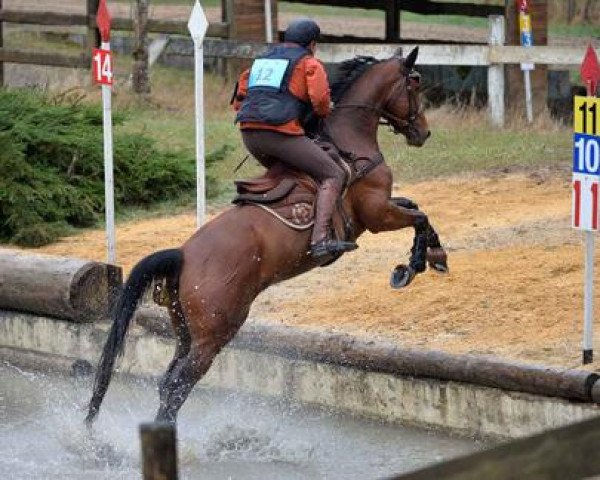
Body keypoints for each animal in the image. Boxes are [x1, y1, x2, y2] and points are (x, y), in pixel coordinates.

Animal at [86, 47, 448, 424]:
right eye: (415, 83)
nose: (424, 133)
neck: (350, 141)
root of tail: (183, 256)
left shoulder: (382, 207)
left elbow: (417, 208)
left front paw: (434, 257)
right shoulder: (376, 213)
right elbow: (419, 217)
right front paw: (414, 266)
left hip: (185, 331)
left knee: (167, 381)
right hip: (213, 334)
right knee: (177, 386)